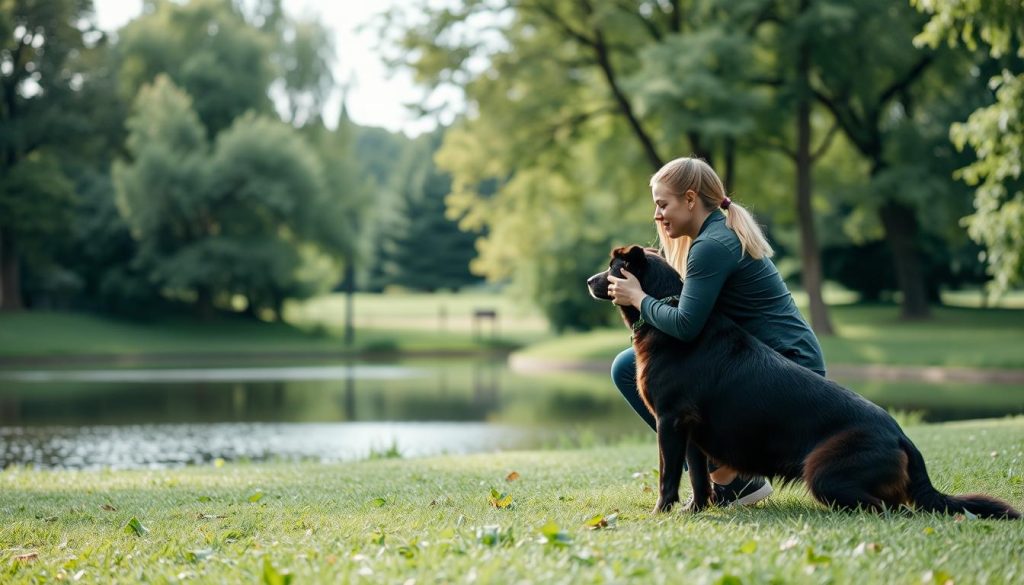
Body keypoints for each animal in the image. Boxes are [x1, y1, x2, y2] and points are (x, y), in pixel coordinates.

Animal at [589, 244, 1019, 520]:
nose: (589, 280)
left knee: (890, 510)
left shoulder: (670, 421)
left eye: (612, 267)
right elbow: (696, 478)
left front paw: (661, 513)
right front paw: (695, 511)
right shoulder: (690, 431)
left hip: (823, 471)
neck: (668, 306)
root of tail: (902, 437)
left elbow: (667, 474)